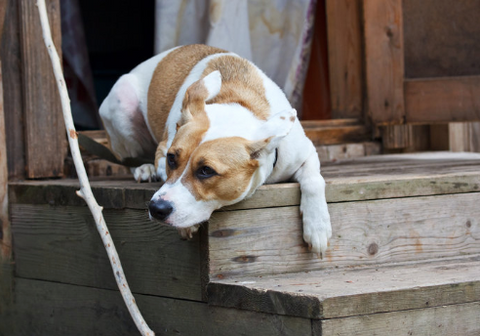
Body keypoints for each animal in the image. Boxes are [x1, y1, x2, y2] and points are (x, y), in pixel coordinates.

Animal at [97, 44, 330, 255]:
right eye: (171, 159)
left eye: (206, 171)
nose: (156, 209)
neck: (235, 101)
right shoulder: (162, 150)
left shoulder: (306, 152)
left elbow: (314, 180)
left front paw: (317, 226)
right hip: (121, 102)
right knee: (129, 157)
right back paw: (144, 168)